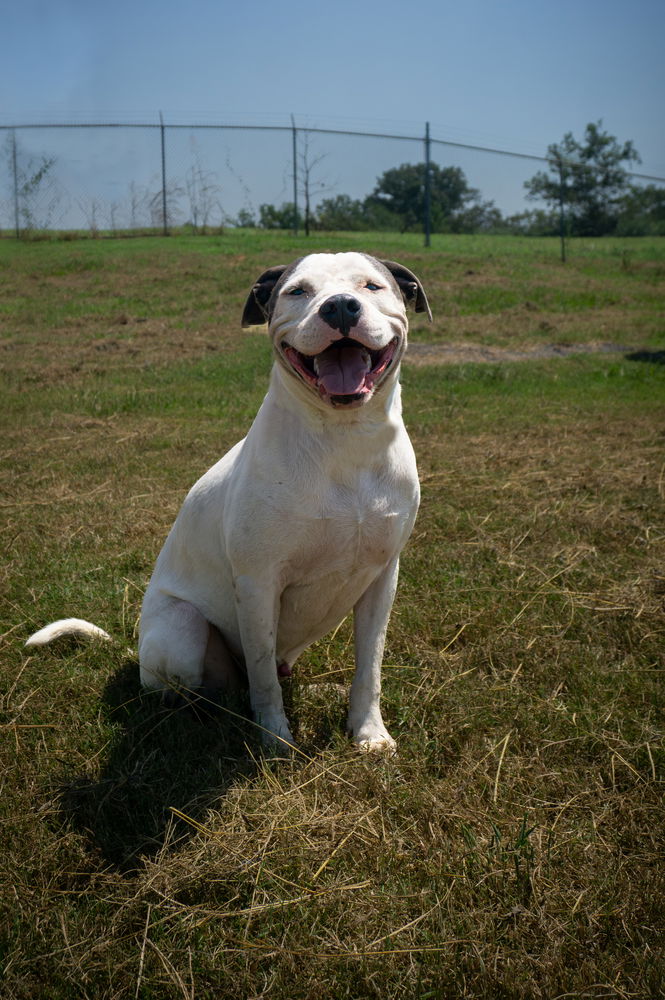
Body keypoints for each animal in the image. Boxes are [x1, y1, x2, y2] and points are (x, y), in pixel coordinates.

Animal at [24, 250, 430, 752]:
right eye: (298, 291)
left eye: (372, 286)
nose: (339, 307)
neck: (343, 441)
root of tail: (136, 651)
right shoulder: (258, 583)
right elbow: (262, 676)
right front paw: (274, 741)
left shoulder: (381, 578)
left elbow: (369, 667)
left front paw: (369, 732)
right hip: (182, 629)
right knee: (206, 689)